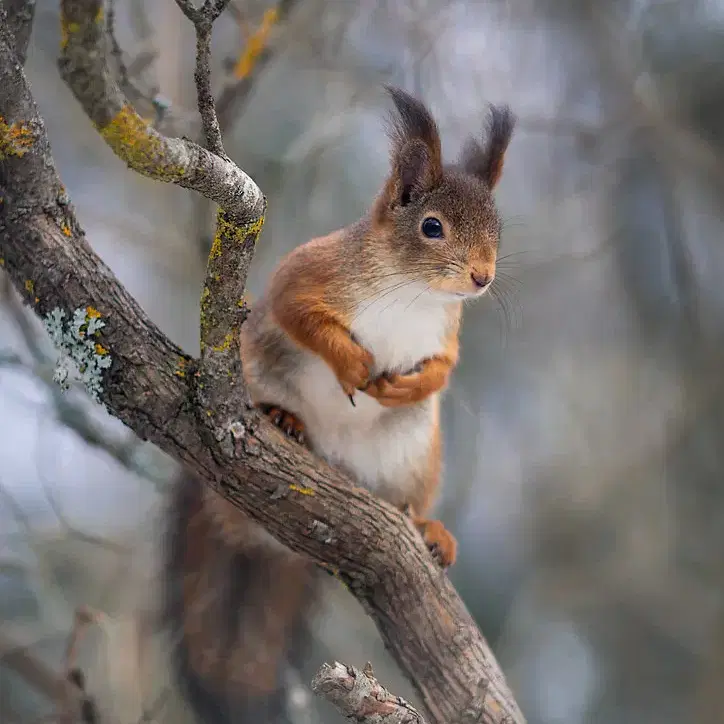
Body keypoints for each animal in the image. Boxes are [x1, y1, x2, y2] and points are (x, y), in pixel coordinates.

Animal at [164, 86, 516, 724]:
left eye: (498, 228)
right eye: (432, 227)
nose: (482, 278)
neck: (413, 292)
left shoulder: (447, 334)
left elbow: (445, 368)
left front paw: (406, 384)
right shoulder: (309, 272)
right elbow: (296, 310)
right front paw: (351, 364)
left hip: (412, 454)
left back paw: (427, 528)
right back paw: (282, 421)